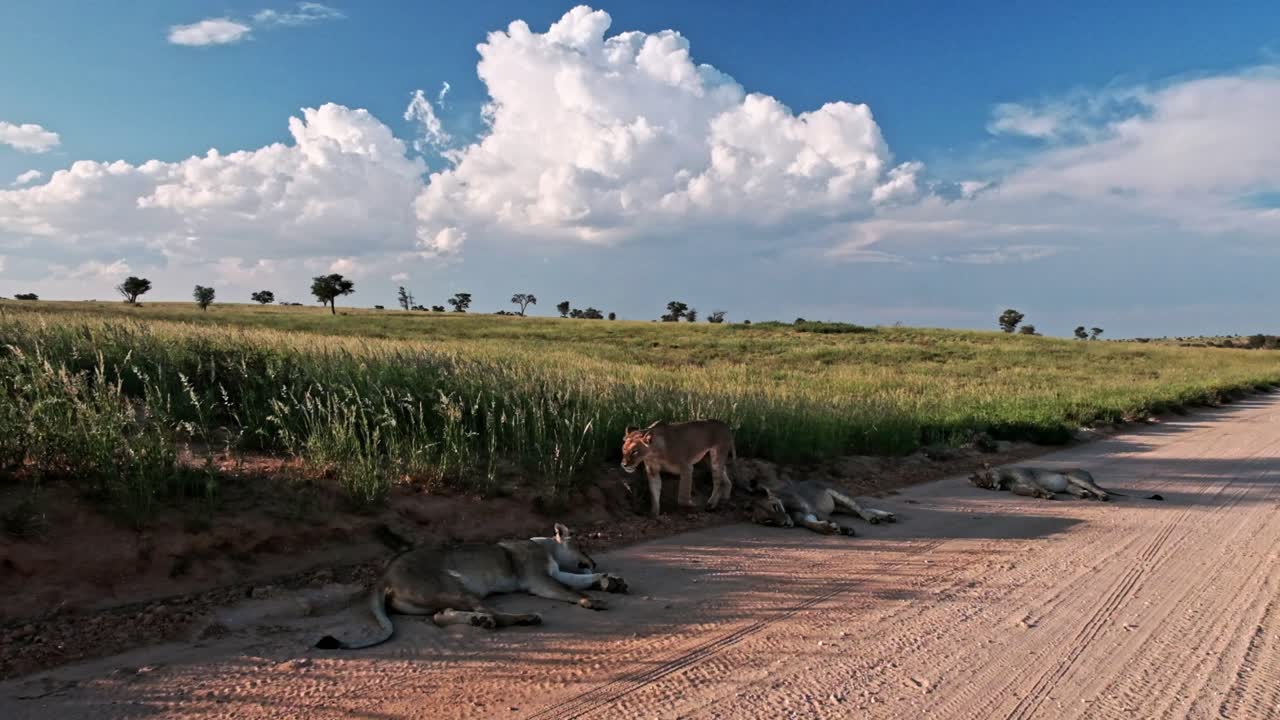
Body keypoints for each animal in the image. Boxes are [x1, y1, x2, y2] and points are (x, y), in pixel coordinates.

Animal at [314, 524, 627, 650]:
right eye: (581, 545)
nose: (594, 561)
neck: (548, 547)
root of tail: (383, 577)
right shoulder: (538, 579)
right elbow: (572, 590)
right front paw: (593, 599)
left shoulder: (556, 573)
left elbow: (578, 581)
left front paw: (610, 580)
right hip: (455, 586)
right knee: (492, 613)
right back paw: (524, 618)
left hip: (441, 597)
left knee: (440, 617)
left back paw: (479, 621)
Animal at [749, 479, 896, 535]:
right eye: (769, 521)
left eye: (775, 507)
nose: (785, 524)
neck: (788, 510)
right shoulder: (805, 518)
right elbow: (814, 526)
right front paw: (828, 528)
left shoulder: (814, 510)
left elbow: (833, 520)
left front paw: (845, 529)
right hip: (839, 507)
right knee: (859, 511)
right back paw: (886, 516)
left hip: (840, 496)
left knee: (860, 509)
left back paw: (875, 518)